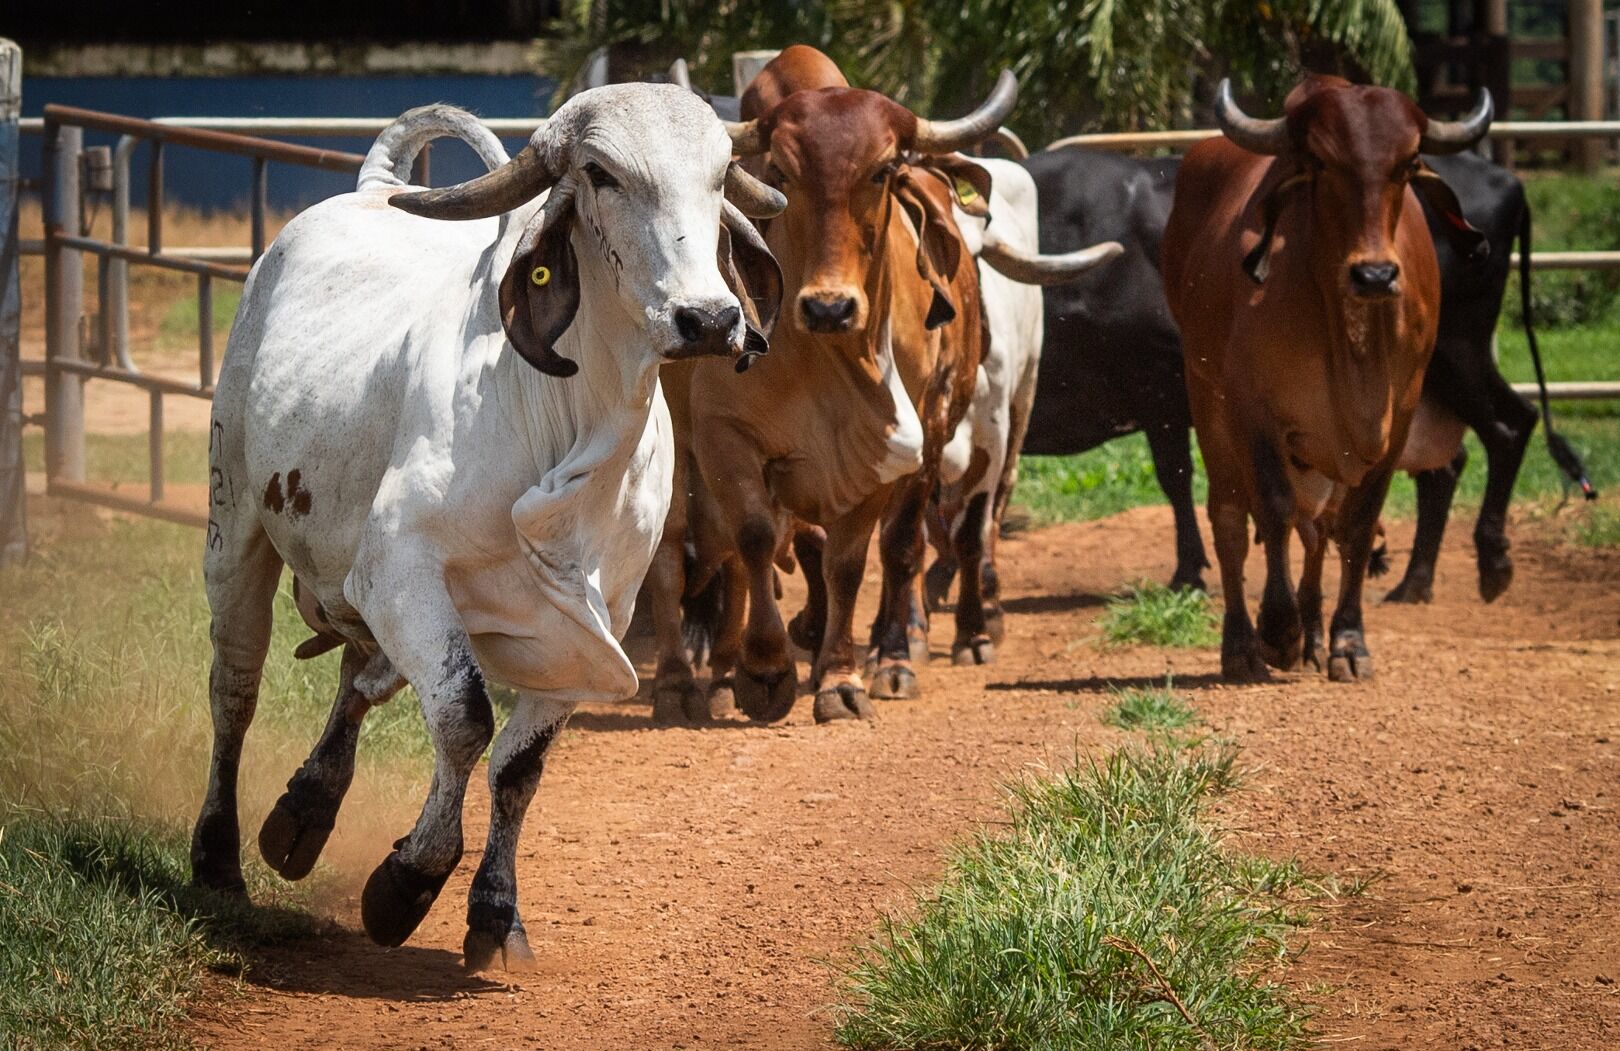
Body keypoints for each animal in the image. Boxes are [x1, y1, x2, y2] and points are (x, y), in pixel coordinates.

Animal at [189, 86, 784, 971]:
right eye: (602, 173)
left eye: (719, 176)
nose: (709, 318)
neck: (569, 420)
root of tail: (372, 186)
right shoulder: (399, 569)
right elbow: (465, 717)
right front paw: (407, 881)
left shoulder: (596, 620)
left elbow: (519, 765)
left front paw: (496, 912)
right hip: (234, 528)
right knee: (236, 688)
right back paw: (219, 856)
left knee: (361, 673)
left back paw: (305, 809)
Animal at [933, 157, 1121, 647]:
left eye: (974, 258)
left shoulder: (993, 432)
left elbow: (976, 523)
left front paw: (981, 618)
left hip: (1025, 395)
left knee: (996, 505)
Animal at [1023, 149, 1594, 605]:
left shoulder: (1160, 390)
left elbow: (1175, 479)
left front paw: (1187, 573)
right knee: (1447, 465)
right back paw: (1414, 582)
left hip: (1456, 354)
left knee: (1508, 426)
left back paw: (1490, 561)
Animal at [1166, 73, 1490, 680]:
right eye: (1320, 160)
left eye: (1409, 162)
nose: (1375, 274)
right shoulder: (1253, 411)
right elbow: (1270, 511)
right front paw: (1278, 631)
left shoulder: (1396, 419)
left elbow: (1356, 528)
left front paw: (1345, 642)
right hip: (1209, 406)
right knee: (1231, 521)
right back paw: (1244, 647)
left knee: (1317, 529)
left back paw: (1314, 636)